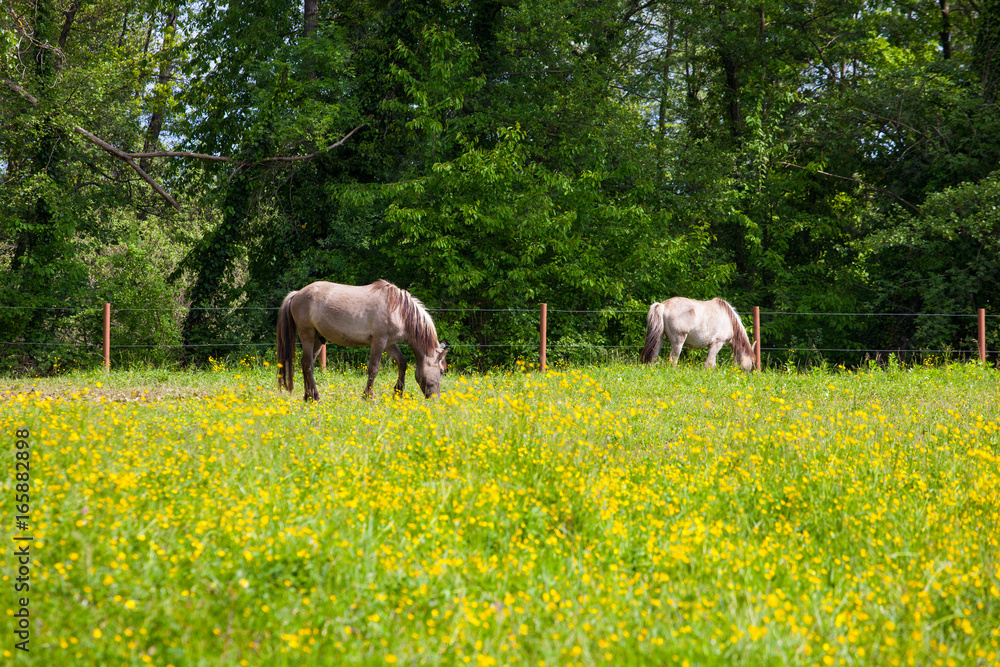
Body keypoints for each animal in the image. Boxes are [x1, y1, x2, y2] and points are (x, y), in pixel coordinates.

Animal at [276, 280, 449, 400]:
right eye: (441, 371)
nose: (436, 399)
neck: (399, 310)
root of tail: (297, 294)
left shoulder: (389, 344)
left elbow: (402, 362)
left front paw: (397, 393)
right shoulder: (379, 341)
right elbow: (373, 368)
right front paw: (368, 397)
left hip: (318, 339)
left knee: (307, 364)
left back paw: (308, 396)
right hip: (308, 335)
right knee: (307, 364)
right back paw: (315, 397)